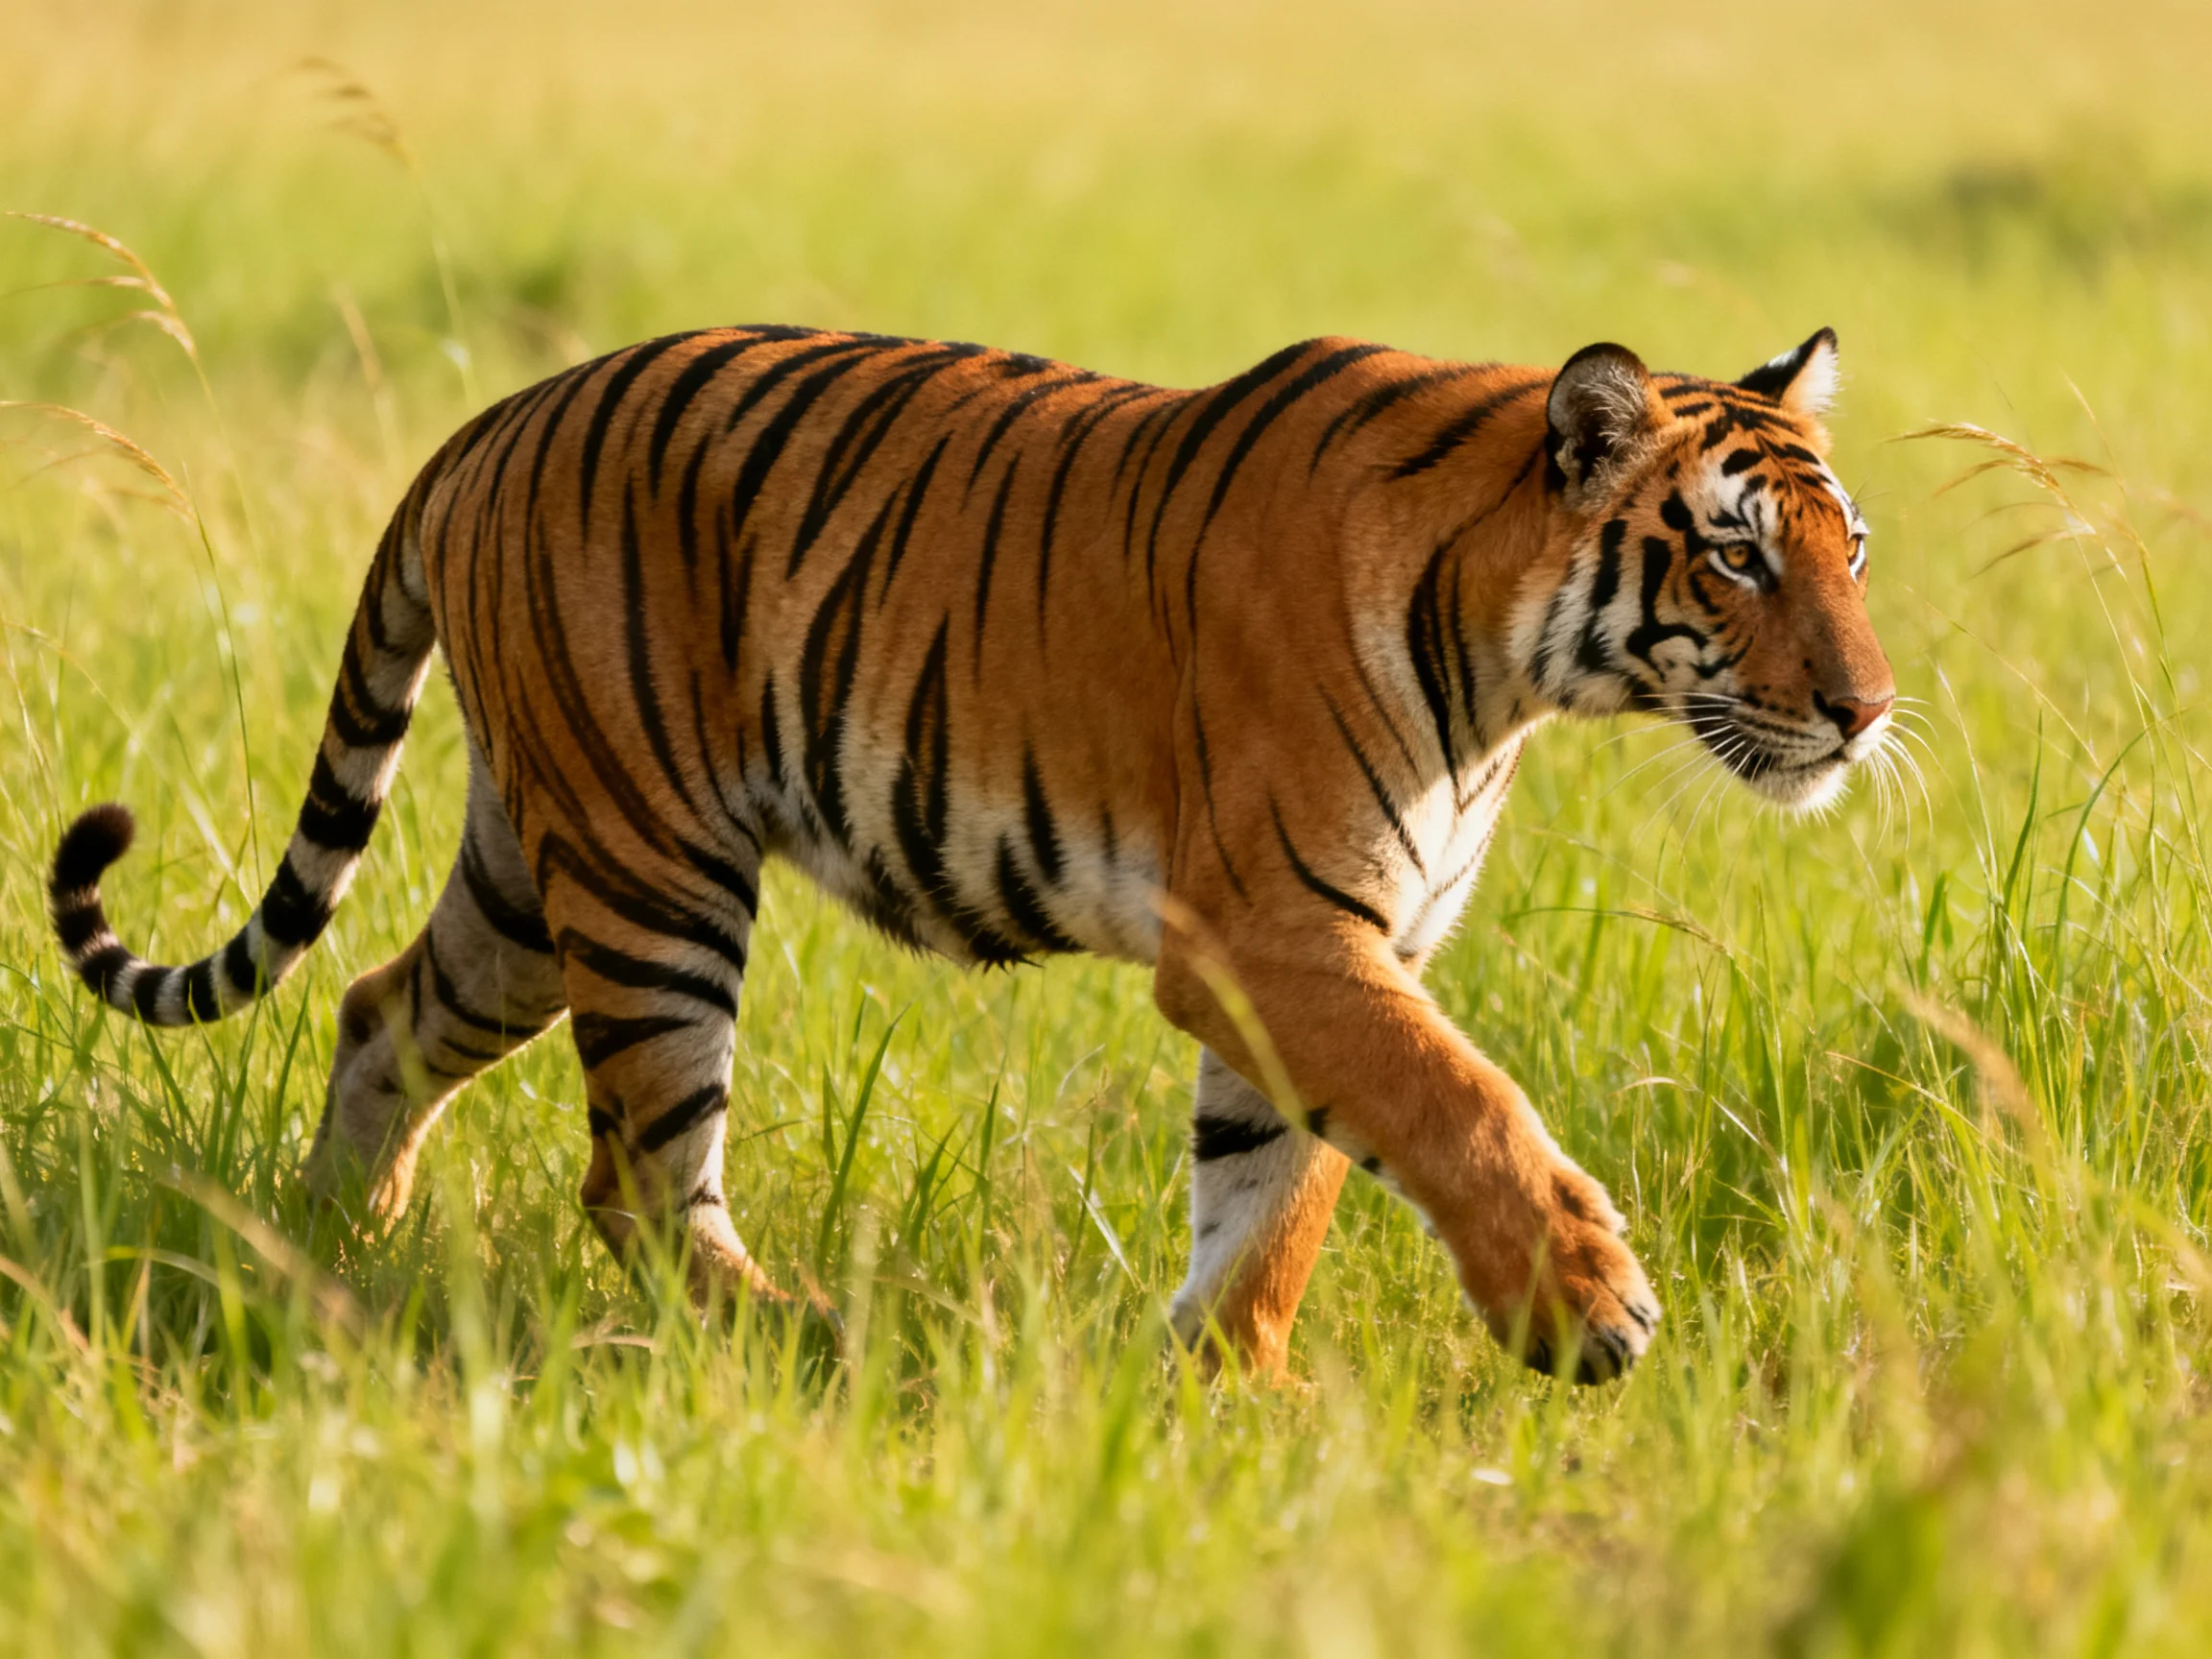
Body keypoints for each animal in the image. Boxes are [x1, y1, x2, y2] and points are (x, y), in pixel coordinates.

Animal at [47, 321, 1893, 1384]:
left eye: (1850, 549)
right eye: (1733, 554)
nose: (1868, 711)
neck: (1505, 672)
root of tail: (485, 424)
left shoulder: (1345, 949)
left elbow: (1274, 1192)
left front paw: (1224, 1398)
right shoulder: (1275, 933)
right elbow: (1454, 1103)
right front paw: (1585, 1304)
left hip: (531, 866)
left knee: (379, 1009)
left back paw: (319, 1251)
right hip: (653, 877)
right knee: (638, 1179)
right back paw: (798, 1336)